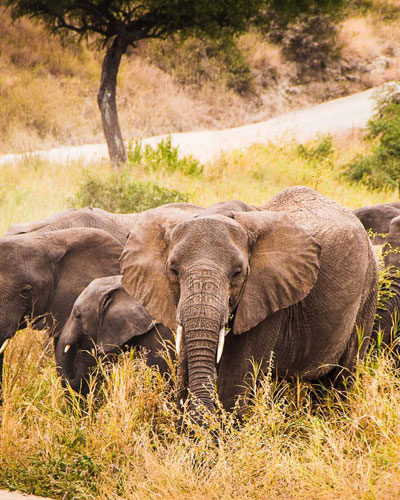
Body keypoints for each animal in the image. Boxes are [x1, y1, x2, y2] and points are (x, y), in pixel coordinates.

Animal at [121, 186, 378, 416]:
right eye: (173, 270)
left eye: (237, 273)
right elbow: (184, 367)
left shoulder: (269, 296)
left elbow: (233, 381)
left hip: (369, 289)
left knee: (343, 378)